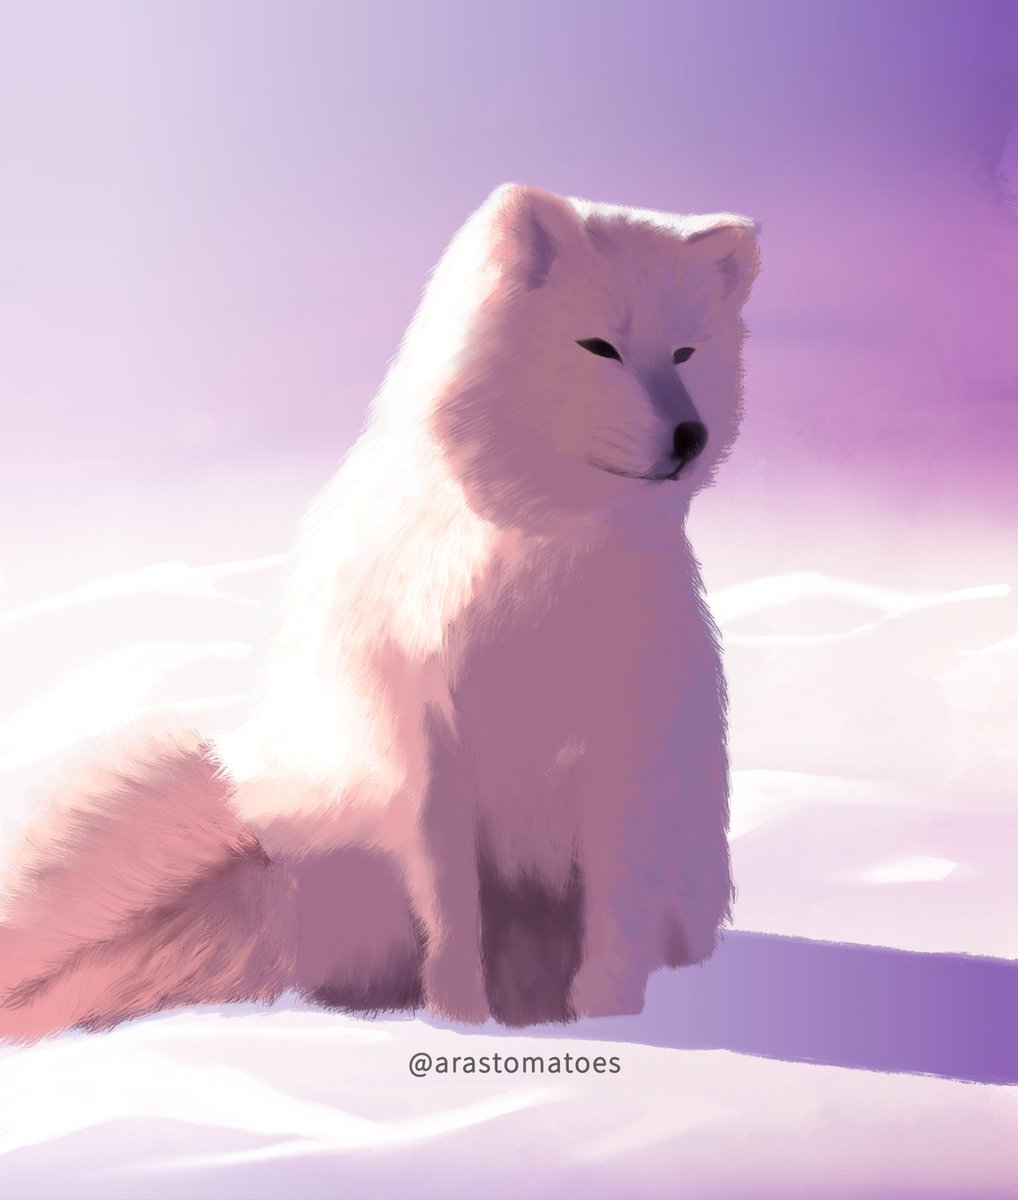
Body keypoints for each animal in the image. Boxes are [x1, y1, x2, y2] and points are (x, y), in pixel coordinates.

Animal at [0, 183, 759, 1040]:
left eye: (687, 353)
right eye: (600, 346)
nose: (691, 436)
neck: (541, 560)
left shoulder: (626, 748)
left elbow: (615, 906)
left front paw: (609, 1019)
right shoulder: (425, 746)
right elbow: (452, 906)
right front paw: (462, 1020)